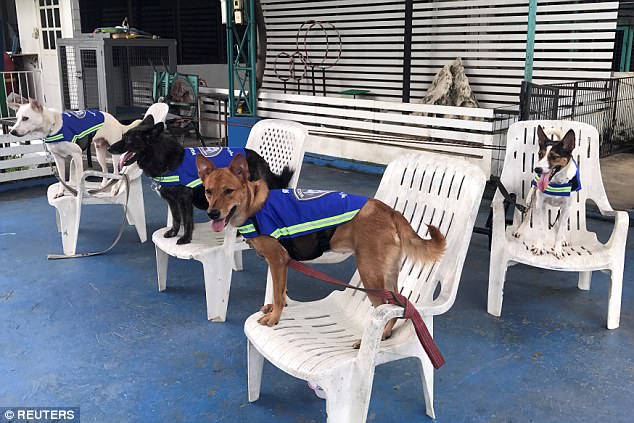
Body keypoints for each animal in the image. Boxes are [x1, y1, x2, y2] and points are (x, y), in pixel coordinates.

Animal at [8, 98, 142, 198]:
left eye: (25, 118)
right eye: (17, 118)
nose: (12, 132)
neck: (53, 126)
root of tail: (116, 121)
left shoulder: (77, 155)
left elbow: (78, 178)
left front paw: (79, 193)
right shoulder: (58, 159)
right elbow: (62, 178)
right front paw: (60, 192)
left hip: (114, 154)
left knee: (116, 172)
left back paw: (114, 188)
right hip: (99, 152)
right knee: (105, 170)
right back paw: (104, 186)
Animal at [108, 116, 294, 245]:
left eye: (129, 140)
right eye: (123, 136)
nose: (109, 148)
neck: (166, 160)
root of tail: (262, 161)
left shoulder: (185, 200)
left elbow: (187, 220)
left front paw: (186, 238)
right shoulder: (172, 201)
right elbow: (176, 219)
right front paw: (174, 232)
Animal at [195, 154, 446, 342]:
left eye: (228, 191)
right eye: (209, 191)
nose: (212, 213)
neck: (255, 205)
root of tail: (389, 210)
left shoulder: (277, 261)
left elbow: (277, 293)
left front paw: (275, 317)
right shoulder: (283, 263)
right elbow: (280, 292)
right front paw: (277, 308)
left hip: (370, 275)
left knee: (387, 309)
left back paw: (381, 334)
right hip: (387, 275)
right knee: (398, 305)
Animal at [512, 126, 580, 258]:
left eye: (554, 157)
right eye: (540, 154)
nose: (537, 169)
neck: (556, 182)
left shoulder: (566, 207)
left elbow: (560, 229)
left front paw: (558, 248)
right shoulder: (540, 204)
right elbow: (541, 229)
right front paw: (539, 247)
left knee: (559, 221)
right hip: (534, 200)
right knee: (528, 213)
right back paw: (520, 229)